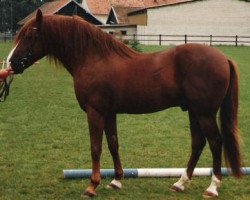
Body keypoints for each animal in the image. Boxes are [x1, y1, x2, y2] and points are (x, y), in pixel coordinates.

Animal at [7, 9, 242, 198]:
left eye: (30, 35)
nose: (10, 63)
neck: (94, 58)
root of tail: (223, 58)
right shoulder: (109, 113)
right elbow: (113, 144)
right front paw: (116, 181)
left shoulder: (95, 112)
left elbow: (95, 147)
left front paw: (92, 186)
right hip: (194, 112)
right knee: (198, 143)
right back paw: (180, 183)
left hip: (205, 113)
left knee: (215, 142)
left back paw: (212, 188)